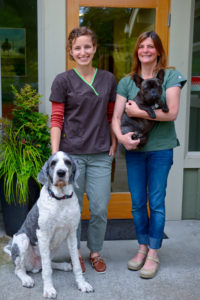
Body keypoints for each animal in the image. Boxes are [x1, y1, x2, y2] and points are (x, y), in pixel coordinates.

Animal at [4, 151, 94, 298]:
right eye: (53, 163)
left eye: (68, 162)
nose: (61, 172)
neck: (61, 199)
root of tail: (34, 266)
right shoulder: (43, 235)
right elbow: (47, 270)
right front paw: (49, 289)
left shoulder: (72, 234)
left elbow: (76, 264)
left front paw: (82, 284)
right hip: (22, 239)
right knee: (20, 269)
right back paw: (27, 279)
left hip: (55, 245)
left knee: (48, 263)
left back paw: (63, 265)